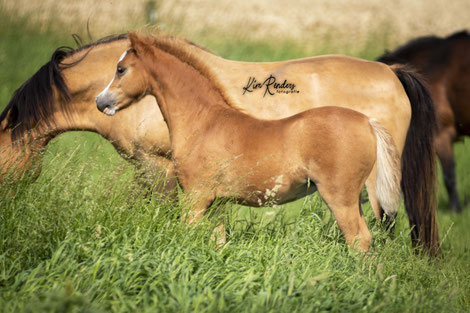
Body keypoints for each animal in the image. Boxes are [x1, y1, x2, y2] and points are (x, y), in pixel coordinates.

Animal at [0, 33, 440, 254]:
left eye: (121, 69)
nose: (102, 102)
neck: (205, 118)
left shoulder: (173, 181)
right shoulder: (210, 200)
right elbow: (215, 240)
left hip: (355, 194)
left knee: (366, 240)